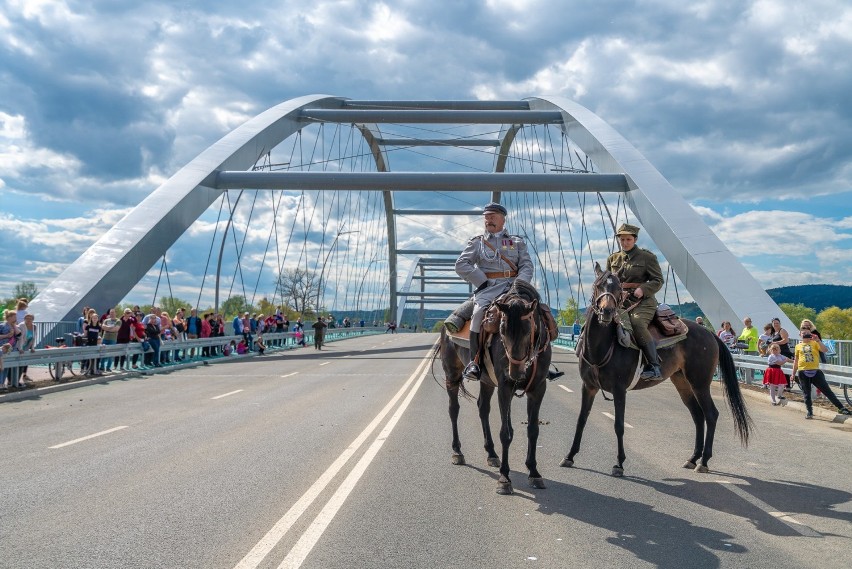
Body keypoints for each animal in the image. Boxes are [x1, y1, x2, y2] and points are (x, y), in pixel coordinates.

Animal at [440, 282, 552, 494]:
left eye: (529, 329)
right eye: (502, 330)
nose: (515, 373)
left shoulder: (538, 389)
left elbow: (533, 429)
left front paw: (534, 472)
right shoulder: (505, 388)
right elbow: (506, 433)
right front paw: (504, 478)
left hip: (487, 382)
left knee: (483, 408)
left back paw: (491, 453)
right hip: (452, 376)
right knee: (453, 410)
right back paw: (457, 451)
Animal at [564, 264, 752, 478]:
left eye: (619, 288)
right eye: (597, 285)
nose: (607, 311)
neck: (601, 347)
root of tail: (710, 333)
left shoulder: (619, 390)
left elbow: (619, 425)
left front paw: (619, 464)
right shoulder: (588, 387)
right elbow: (581, 420)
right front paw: (570, 456)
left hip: (700, 383)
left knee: (711, 414)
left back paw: (703, 461)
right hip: (682, 383)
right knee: (698, 415)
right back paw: (692, 458)